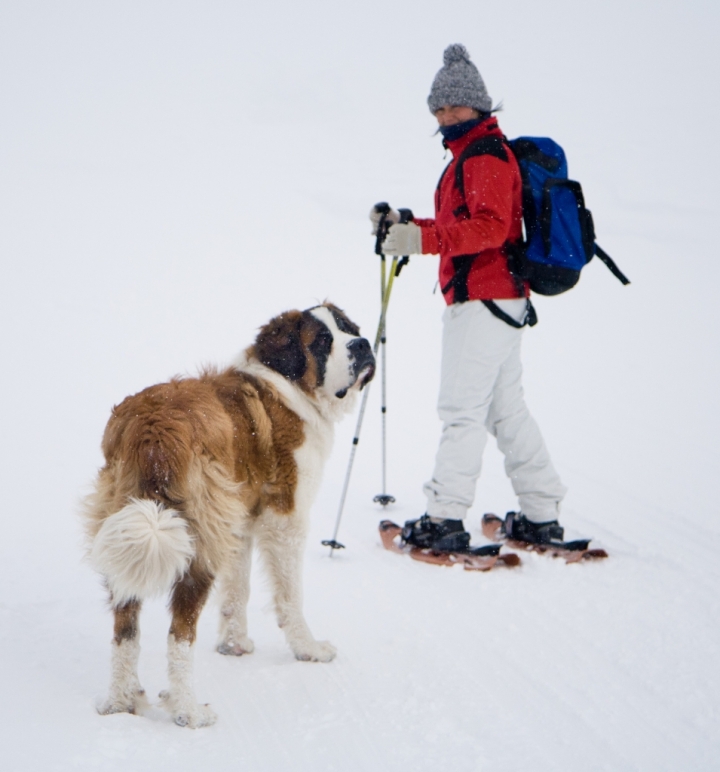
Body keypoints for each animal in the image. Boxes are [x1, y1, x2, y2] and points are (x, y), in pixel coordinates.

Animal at [83, 304, 376, 728]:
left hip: (131, 528)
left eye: (349, 329)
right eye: (323, 341)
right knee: (179, 634)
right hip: (196, 541)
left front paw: (234, 644)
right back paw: (189, 711)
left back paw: (121, 701)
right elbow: (290, 595)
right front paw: (308, 648)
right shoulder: (285, 517)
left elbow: (238, 588)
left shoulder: (237, 520)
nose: (363, 344)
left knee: (126, 627)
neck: (287, 388)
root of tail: (155, 430)